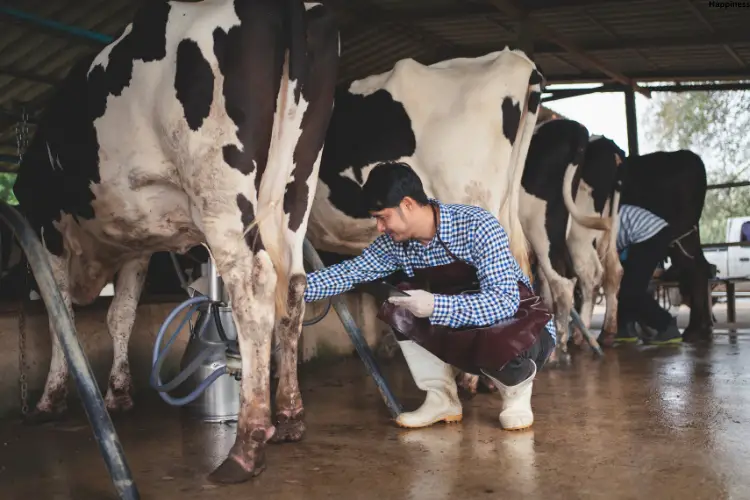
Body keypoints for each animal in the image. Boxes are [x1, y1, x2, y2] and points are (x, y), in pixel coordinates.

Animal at [11, 0, 340, 484]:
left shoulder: (47, 225)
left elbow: (60, 316)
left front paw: (49, 401)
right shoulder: (137, 244)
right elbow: (121, 315)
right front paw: (119, 394)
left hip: (220, 190)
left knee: (254, 290)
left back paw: (246, 447)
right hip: (296, 187)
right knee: (294, 289)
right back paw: (290, 419)